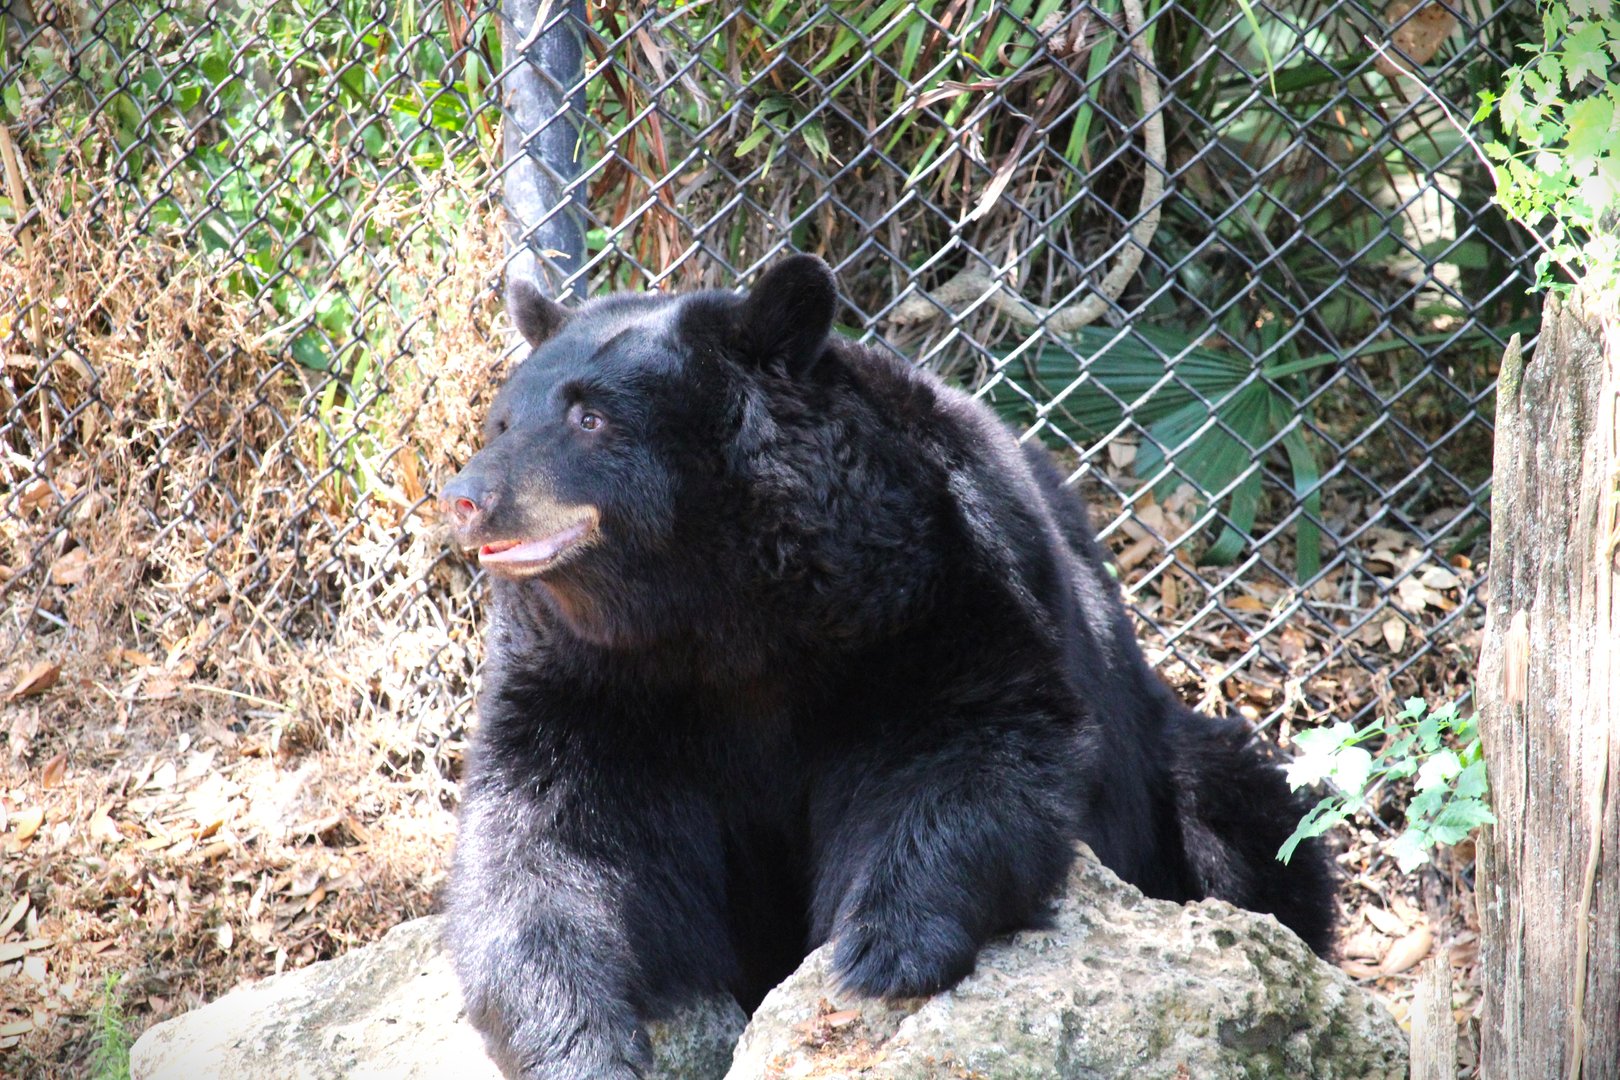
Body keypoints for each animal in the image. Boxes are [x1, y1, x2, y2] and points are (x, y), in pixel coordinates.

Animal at [439, 255, 1336, 1079]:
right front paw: (574, 1038)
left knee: (1247, 819)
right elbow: (547, 831)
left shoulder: (932, 595)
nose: (466, 498)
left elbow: (965, 750)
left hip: (1175, 764)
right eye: (502, 423)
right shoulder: (592, 677)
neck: (718, 608)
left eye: (590, 417)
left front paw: (880, 949)